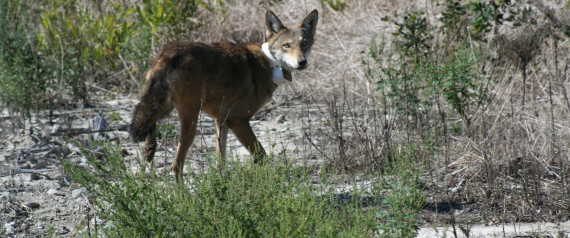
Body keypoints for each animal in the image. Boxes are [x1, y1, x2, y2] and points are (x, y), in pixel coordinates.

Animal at [129, 9, 318, 180]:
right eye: (287, 45)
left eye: (304, 43)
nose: (302, 62)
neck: (270, 64)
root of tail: (169, 51)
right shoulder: (238, 120)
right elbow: (261, 156)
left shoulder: (221, 121)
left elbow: (221, 161)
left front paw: (222, 184)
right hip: (190, 123)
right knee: (176, 165)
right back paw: (182, 195)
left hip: (165, 107)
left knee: (150, 125)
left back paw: (149, 149)